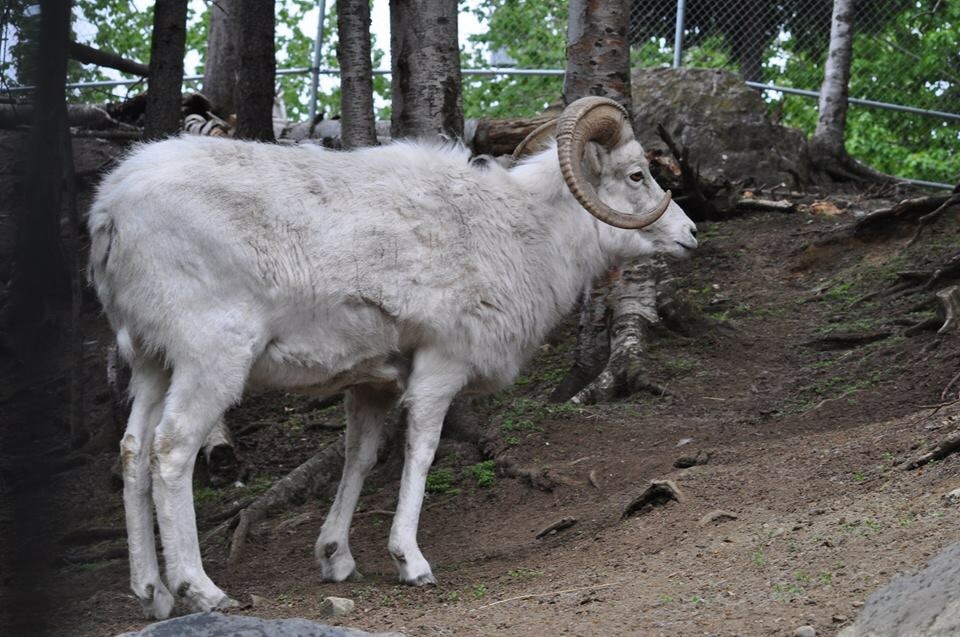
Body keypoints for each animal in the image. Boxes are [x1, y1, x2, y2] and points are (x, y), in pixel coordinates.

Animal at [87, 96, 698, 619]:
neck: (522, 233)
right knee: (171, 452)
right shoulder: (441, 365)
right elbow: (421, 452)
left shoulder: (372, 384)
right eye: (637, 175)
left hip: (152, 362)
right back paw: (203, 592)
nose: (690, 234)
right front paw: (412, 562)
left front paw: (336, 560)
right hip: (211, 359)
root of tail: (111, 209)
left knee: (133, 452)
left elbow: (360, 458)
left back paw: (152, 594)